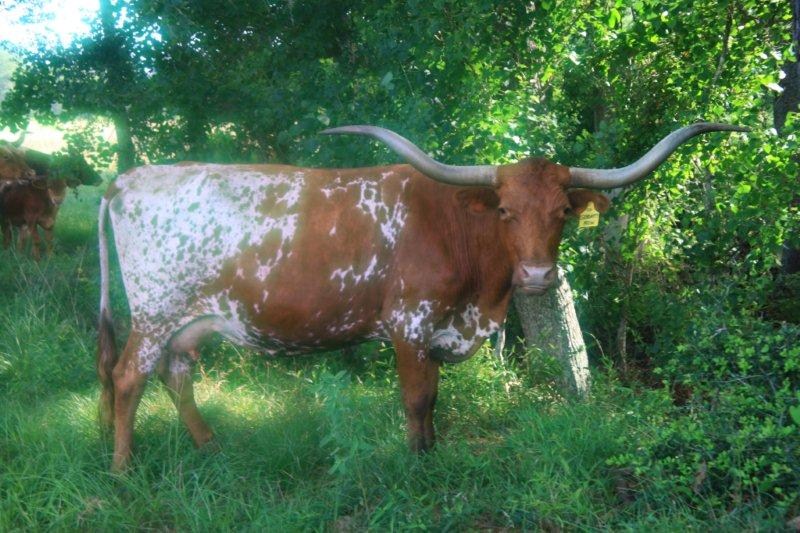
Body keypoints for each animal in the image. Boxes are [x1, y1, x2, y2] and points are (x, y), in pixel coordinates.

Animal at [97, 122, 746, 471]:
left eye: (563, 212)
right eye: (506, 211)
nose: (539, 277)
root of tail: (126, 180)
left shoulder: (436, 330)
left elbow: (434, 398)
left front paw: (432, 452)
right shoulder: (408, 325)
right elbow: (415, 398)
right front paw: (414, 462)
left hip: (188, 321)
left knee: (175, 374)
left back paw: (210, 447)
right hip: (153, 313)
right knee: (128, 377)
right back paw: (125, 467)